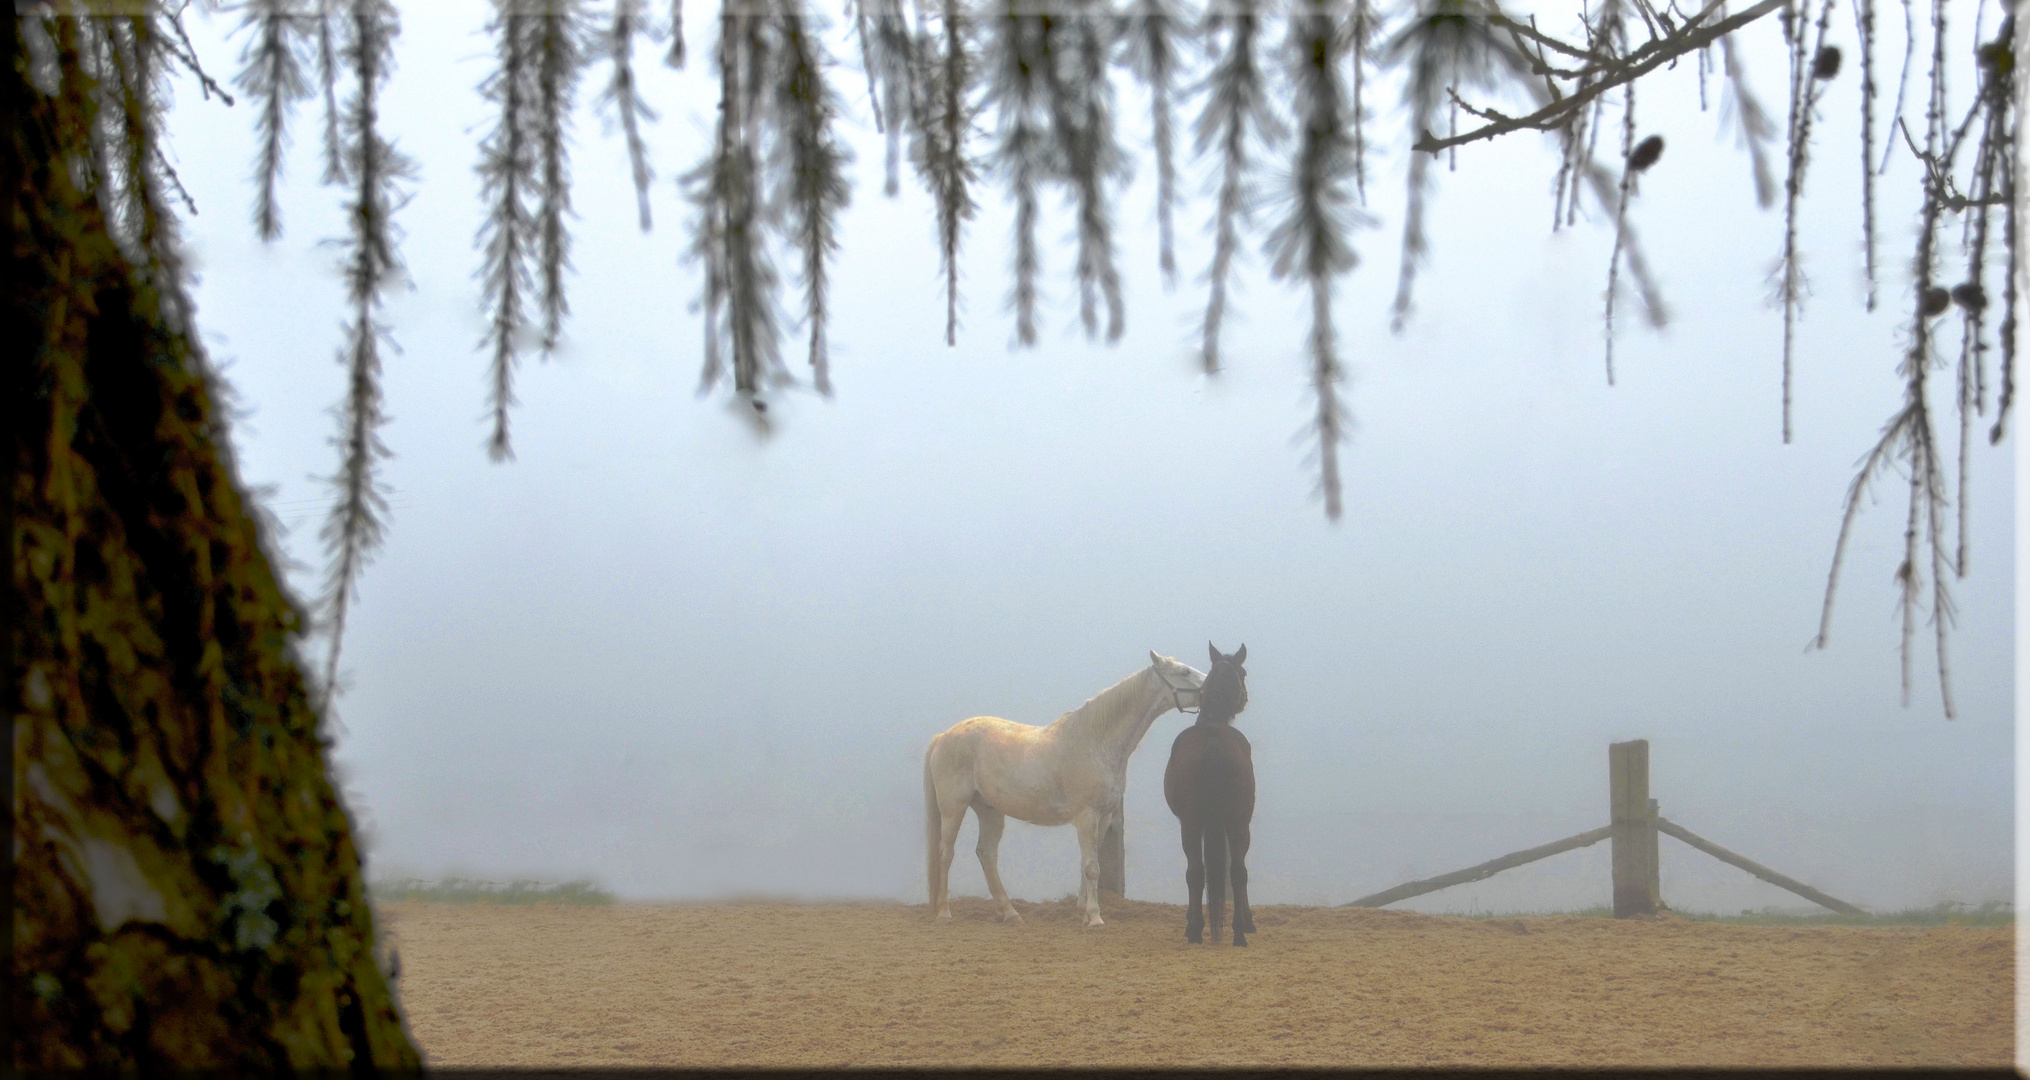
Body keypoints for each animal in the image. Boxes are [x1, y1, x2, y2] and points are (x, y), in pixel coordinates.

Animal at [929, 649, 1209, 929]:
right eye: (1184, 671)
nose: (1215, 685)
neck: (1095, 742)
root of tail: (944, 736)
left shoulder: (1103, 816)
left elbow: (1088, 862)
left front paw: (1083, 912)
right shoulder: (1086, 814)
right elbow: (1092, 867)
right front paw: (1095, 917)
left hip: (989, 809)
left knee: (986, 854)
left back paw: (1010, 913)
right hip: (954, 807)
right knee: (946, 852)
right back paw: (944, 913)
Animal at [1161, 641, 1250, 946]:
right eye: (1243, 673)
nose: (1245, 699)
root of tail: (1213, 741)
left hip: (1195, 823)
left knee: (1199, 872)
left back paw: (1199, 930)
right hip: (1235, 821)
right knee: (1235, 871)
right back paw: (1235, 932)